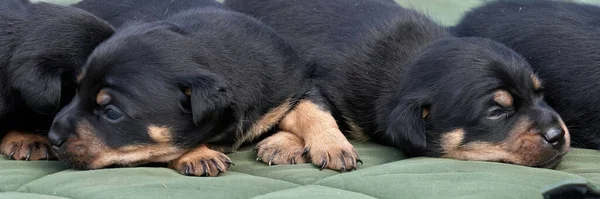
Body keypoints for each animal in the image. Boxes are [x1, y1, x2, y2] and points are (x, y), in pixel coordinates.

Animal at [48, 1, 360, 176]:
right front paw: (199, 154)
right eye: (74, 92)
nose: (53, 138)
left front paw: (334, 146)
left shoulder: (296, 83)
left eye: (112, 112)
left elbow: (315, 111)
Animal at [226, 0, 572, 168]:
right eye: (496, 112)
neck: (409, 60)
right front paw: (290, 143)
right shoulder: (312, 81)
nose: (559, 136)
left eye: (540, 94)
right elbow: (313, 109)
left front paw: (283, 143)